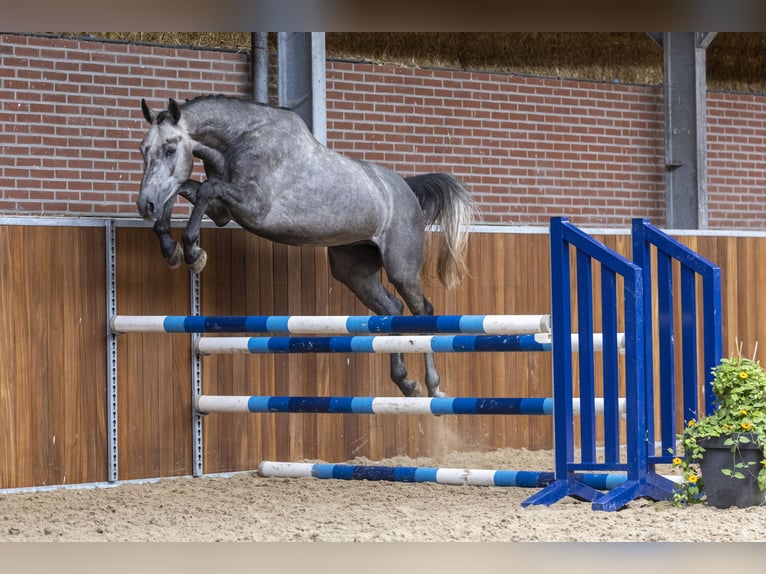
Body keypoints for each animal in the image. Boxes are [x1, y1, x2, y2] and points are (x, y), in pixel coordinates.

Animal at [138, 95, 474, 400]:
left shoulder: (252, 207)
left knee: (422, 312)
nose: (145, 205)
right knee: (392, 310)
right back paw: (405, 382)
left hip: (401, 268)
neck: (242, 139)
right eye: (144, 150)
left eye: (170, 149)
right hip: (353, 272)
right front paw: (170, 248)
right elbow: (183, 189)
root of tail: (406, 189)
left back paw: (433, 386)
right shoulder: (223, 212)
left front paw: (193, 252)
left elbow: (205, 188)